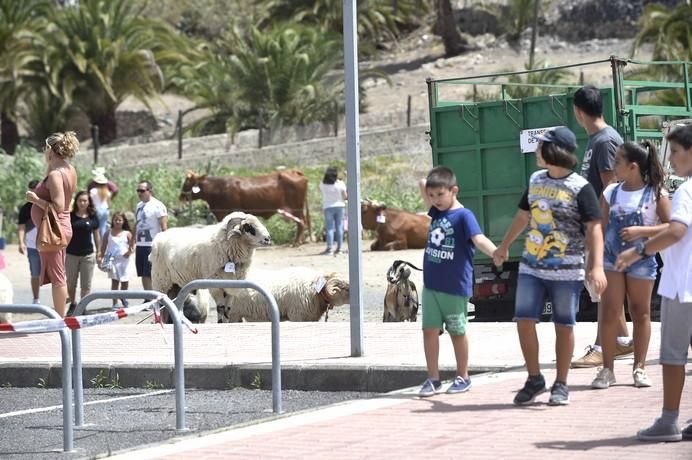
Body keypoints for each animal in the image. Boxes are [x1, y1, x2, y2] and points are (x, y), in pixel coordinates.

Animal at [184, 172, 314, 244]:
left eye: (186, 183)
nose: (181, 196)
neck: (218, 188)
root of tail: (295, 172)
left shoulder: (223, 213)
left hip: (296, 208)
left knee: (301, 222)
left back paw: (296, 242)